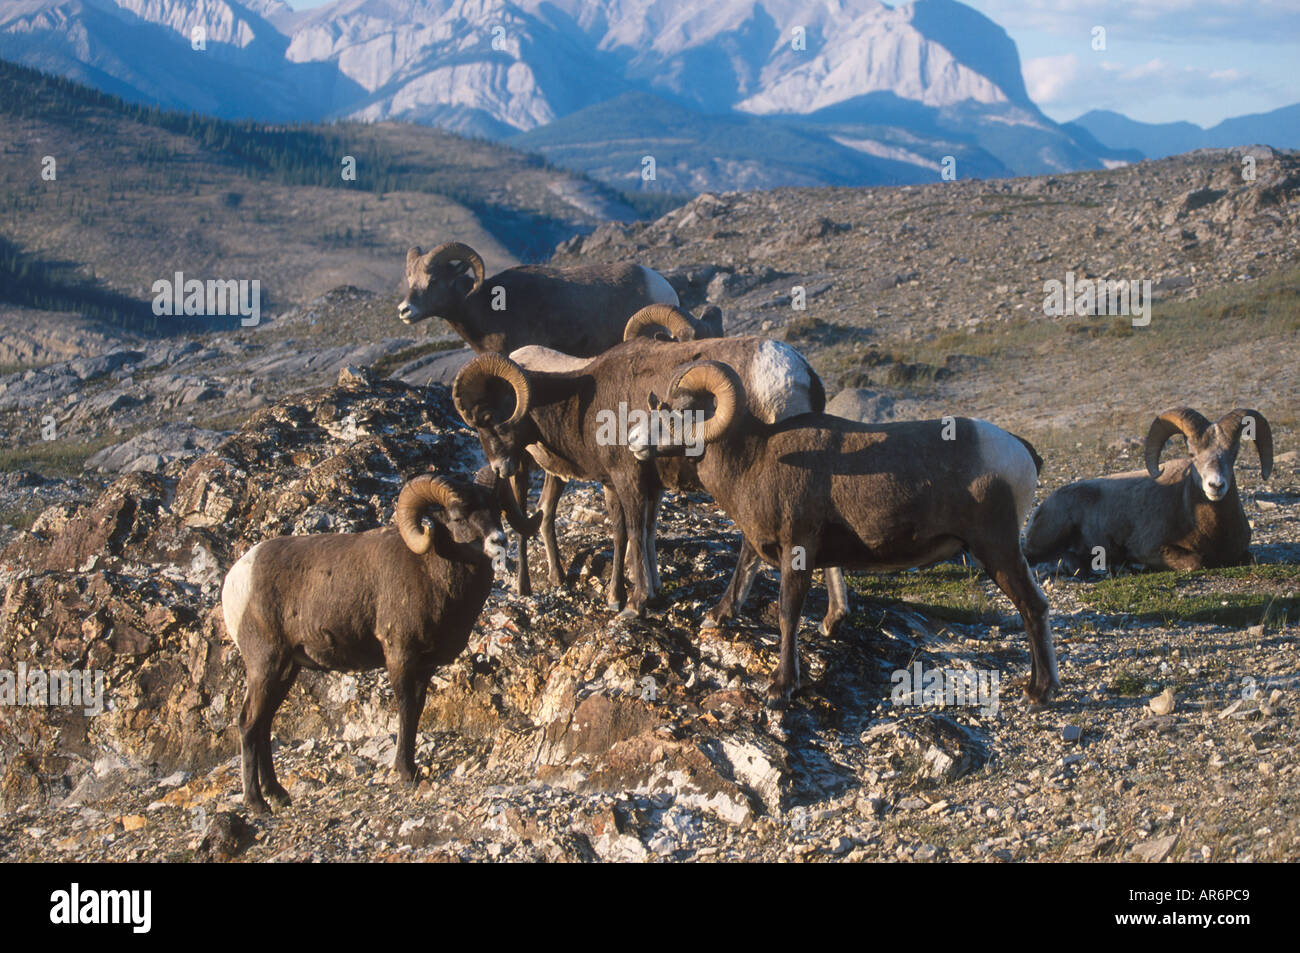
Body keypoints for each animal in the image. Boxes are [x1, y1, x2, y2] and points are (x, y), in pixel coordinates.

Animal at [218, 468, 517, 811]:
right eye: (458, 516)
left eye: (495, 509)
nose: (499, 542)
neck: (430, 571)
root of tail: (236, 578)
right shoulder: (400, 654)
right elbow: (406, 708)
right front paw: (405, 772)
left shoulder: (425, 666)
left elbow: (417, 709)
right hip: (265, 663)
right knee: (248, 722)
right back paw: (256, 803)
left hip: (286, 670)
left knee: (264, 723)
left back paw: (278, 795)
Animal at [449, 323, 832, 621]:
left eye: (485, 418)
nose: (500, 466)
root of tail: (800, 376)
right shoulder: (634, 484)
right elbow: (636, 532)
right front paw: (632, 594)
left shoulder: (628, 478)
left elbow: (633, 531)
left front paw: (635, 602)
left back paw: (721, 613)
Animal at [644, 361, 1050, 702]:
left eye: (682, 410)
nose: (637, 443)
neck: (752, 460)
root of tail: (1019, 449)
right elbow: (746, 572)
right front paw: (720, 616)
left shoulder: (798, 552)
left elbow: (788, 613)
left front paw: (781, 687)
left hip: (997, 551)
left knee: (1033, 606)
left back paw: (1039, 692)